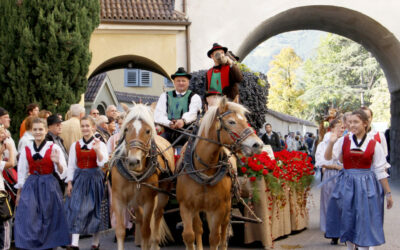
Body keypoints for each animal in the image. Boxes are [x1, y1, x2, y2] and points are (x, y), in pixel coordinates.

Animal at [110, 103, 174, 250]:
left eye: (148, 131)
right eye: (126, 129)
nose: (133, 161)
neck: (135, 176)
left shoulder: (148, 201)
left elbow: (146, 231)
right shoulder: (118, 199)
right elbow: (120, 231)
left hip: (162, 194)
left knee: (157, 216)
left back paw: (155, 242)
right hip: (135, 202)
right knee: (139, 220)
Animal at [177, 97, 264, 250]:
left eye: (245, 120)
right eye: (231, 122)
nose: (257, 145)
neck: (204, 170)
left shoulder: (218, 208)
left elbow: (214, 238)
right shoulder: (186, 206)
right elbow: (189, 235)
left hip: (227, 205)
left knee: (224, 231)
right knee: (198, 228)